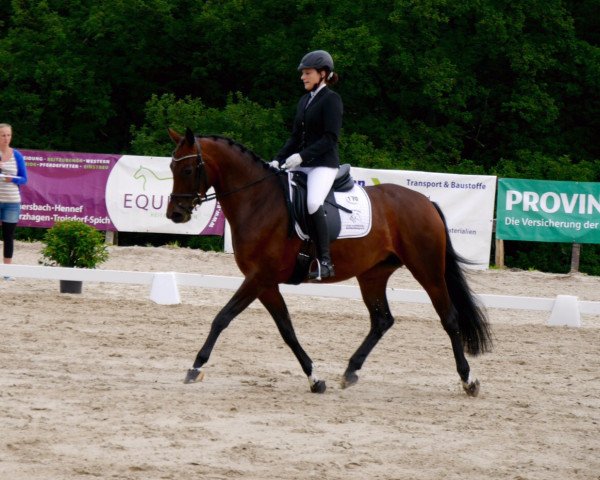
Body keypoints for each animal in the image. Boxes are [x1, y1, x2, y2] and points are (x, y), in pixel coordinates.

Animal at [165, 127, 492, 398]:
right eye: (171, 167)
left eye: (188, 168)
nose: (175, 214)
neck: (257, 201)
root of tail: (426, 201)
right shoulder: (266, 283)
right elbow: (287, 330)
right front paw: (315, 379)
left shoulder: (258, 278)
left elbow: (223, 317)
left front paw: (195, 367)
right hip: (373, 274)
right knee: (382, 319)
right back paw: (350, 371)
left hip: (427, 269)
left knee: (449, 318)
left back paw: (469, 381)